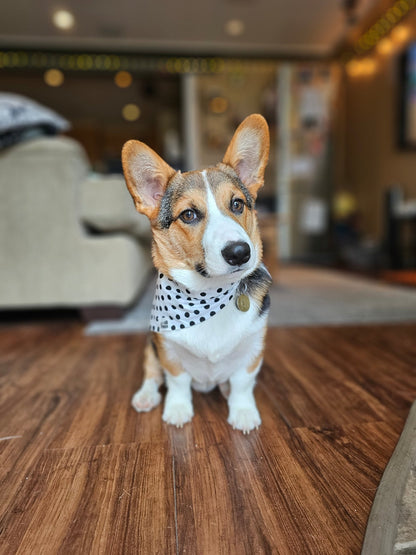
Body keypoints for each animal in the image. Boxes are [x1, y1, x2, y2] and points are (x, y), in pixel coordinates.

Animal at [122, 114, 272, 434]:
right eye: (188, 215)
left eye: (237, 204)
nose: (240, 252)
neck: (210, 293)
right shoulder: (167, 349)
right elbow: (177, 382)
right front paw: (177, 410)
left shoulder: (253, 349)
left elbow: (243, 384)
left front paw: (243, 413)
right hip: (149, 347)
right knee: (151, 375)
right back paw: (145, 397)